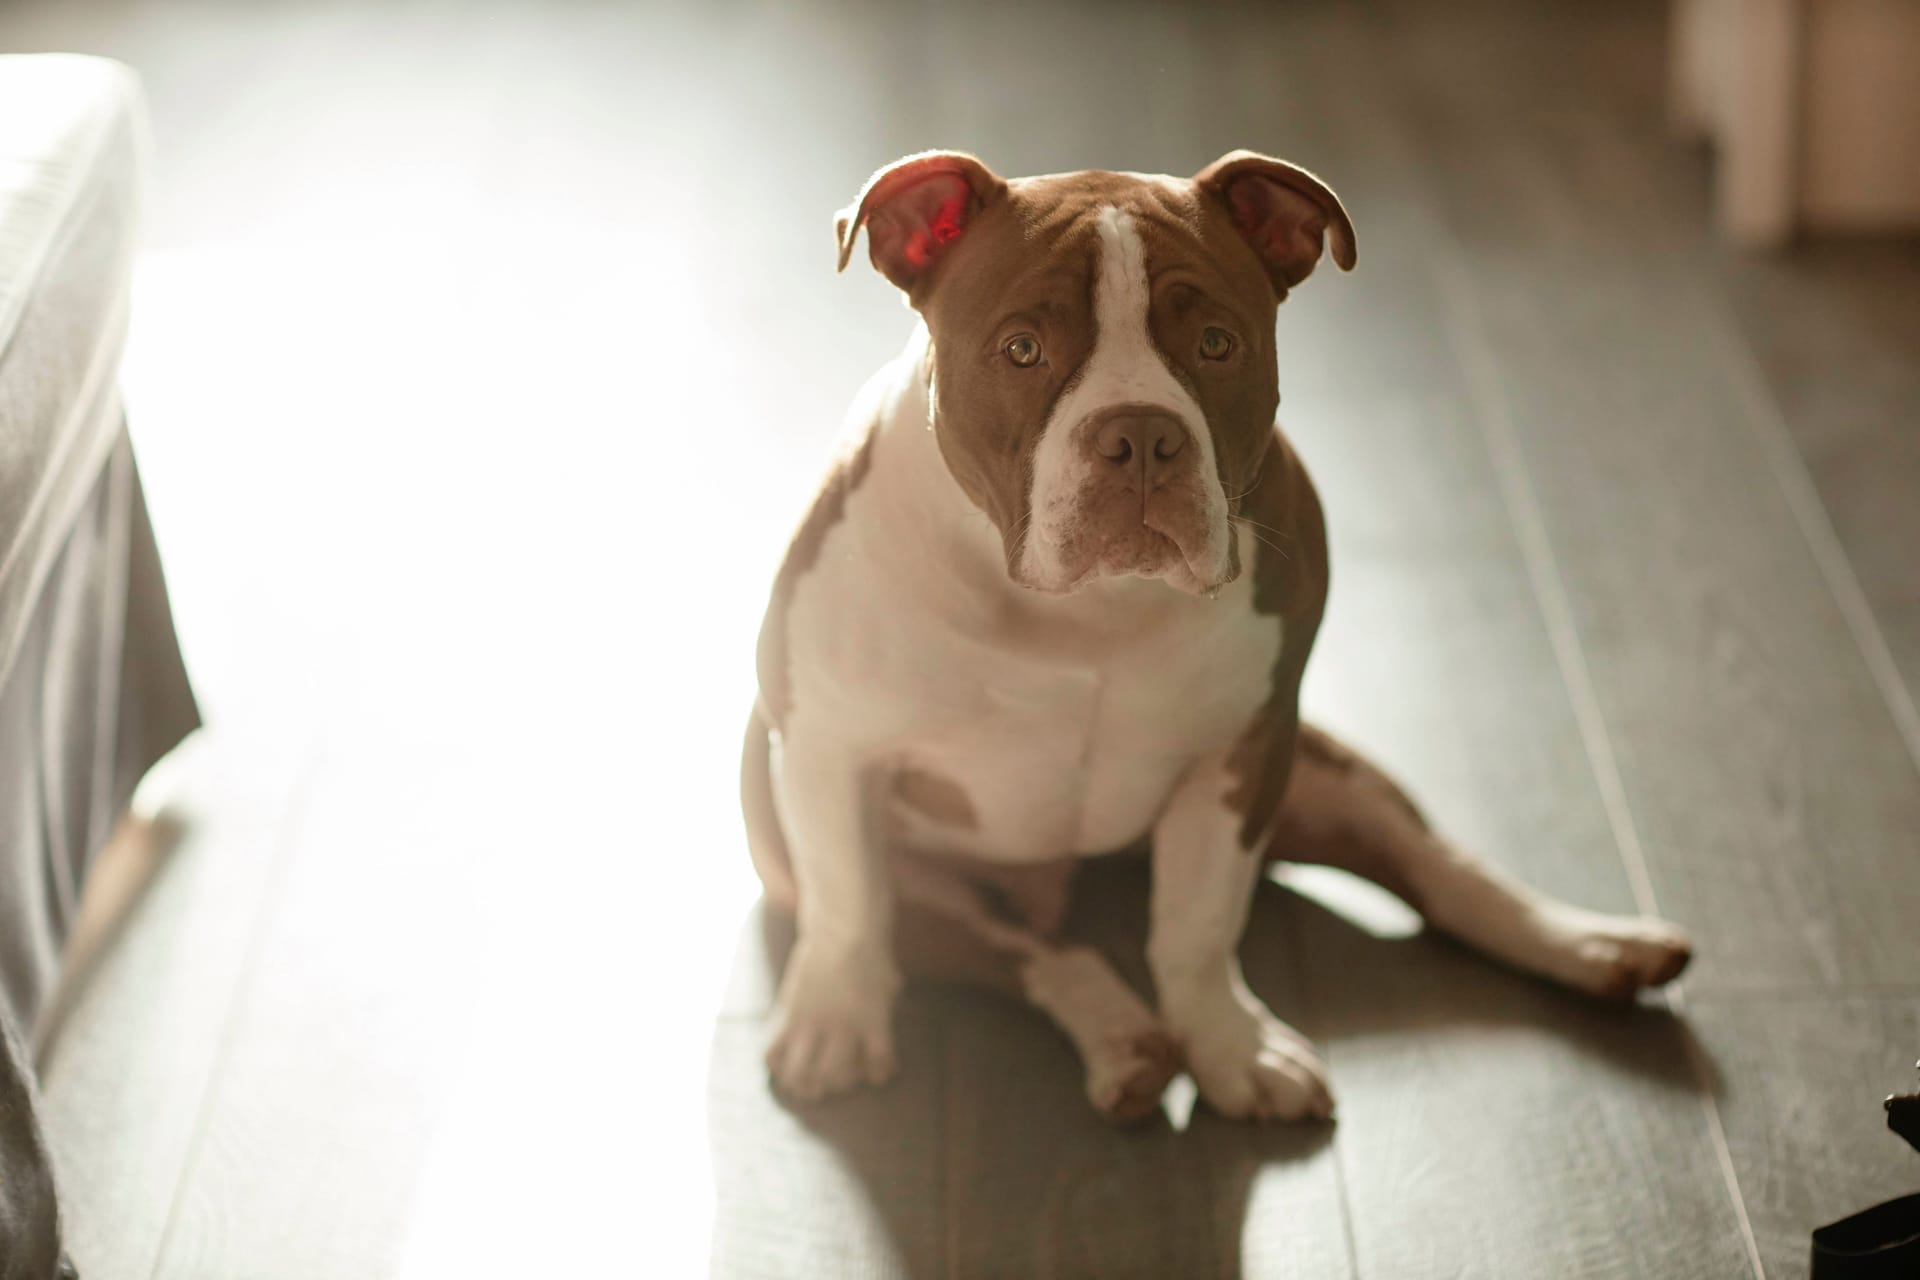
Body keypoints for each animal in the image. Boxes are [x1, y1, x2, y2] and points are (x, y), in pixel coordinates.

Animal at [741, 152, 1689, 1120]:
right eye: (1021, 350)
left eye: (1217, 345)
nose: (1140, 433)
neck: (1084, 613)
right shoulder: (827, 753)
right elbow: (849, 905)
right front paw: (833, 1023)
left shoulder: (1243, 755)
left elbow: (1198, 928)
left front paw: (1233, 1047)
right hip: (848, 851)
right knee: (1029, 951)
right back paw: (1118, 1038)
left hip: (1322, 770)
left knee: (1436, 866)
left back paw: (1592, 943)